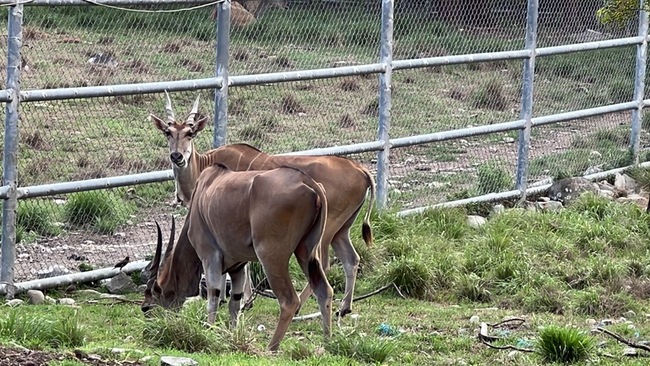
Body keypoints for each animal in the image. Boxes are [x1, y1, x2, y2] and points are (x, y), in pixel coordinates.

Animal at [142, 164, 334, 352]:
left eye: (149, 304)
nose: (148, 328)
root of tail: (307, 181)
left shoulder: (209, 257)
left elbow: (213, 298)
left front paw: (209, 332)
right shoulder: (238, 267)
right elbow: (234, 302)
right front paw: (232, 337)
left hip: (271, 257)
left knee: (289, 301)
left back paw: (271, 348)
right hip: (306, 252)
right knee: (324, 290)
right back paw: (327, 343)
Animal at [150, 92, 374, 318]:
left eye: (190, 133)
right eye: (168, 133)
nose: (177, 156)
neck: (204, 163)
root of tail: (361, 170)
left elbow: (243, 264)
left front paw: (243, 300)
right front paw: (229, 298)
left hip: (325, 231)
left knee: (325, 265)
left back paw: (300, 306)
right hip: (341, 230)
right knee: (351, 259)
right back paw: (344, 307)